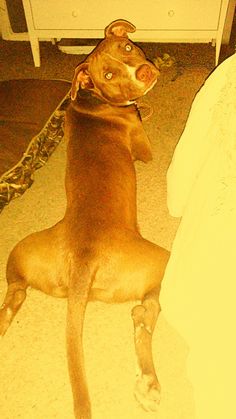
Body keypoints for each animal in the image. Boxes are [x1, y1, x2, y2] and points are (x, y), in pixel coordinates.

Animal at [0, 18, 170, 419]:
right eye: (107, 73)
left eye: (127, 47)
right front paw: (146, 104)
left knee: (14, 293)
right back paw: (149, 383)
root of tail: (82, 260)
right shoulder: (144, 147)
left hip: (23, 251)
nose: (145, 71)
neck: (94, 100)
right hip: (161, 260)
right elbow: (144, 114)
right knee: (145, 311)